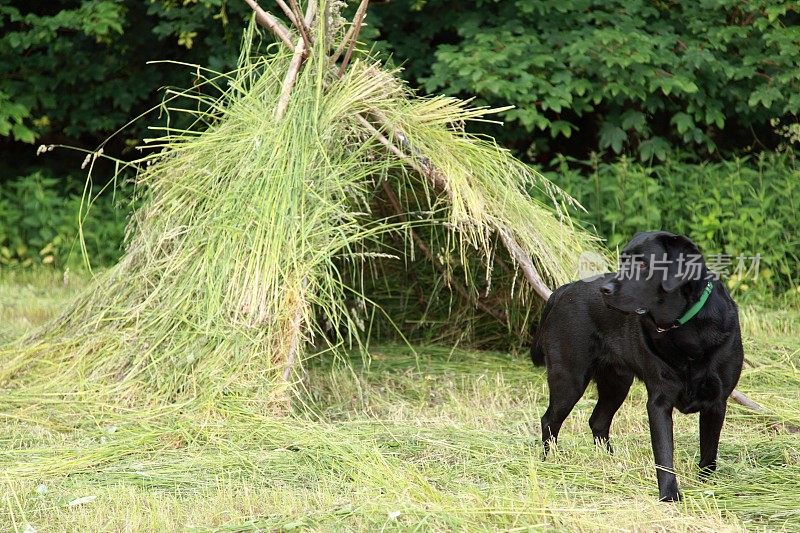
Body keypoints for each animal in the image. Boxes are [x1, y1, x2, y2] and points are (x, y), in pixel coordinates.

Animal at [532, 231, 744, 500]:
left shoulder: (717, 402)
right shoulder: (659, 401)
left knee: (598, 420)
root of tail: (563, 289)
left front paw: (706, 484)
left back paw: (610, 461)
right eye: (623, 261)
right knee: (550, 421)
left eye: (643, 264)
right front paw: (670, 496)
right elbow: (664, 454)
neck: (685, 330)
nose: (605, 290)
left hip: (617, 382)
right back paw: (549, 463)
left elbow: (709, 452)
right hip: (570, 379)